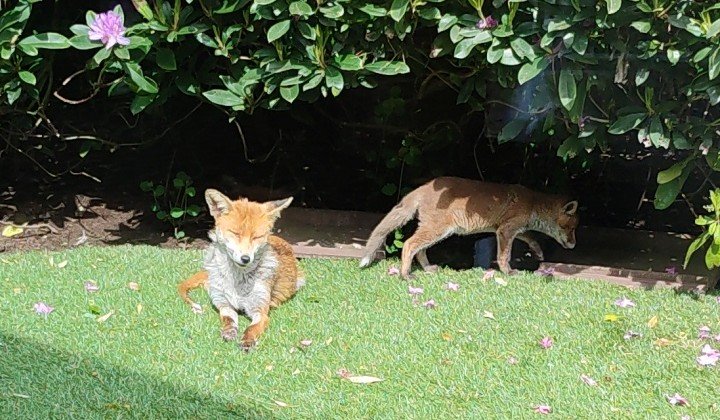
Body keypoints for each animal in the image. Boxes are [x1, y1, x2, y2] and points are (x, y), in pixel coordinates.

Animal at [178, 189, 304, 351]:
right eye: (235, 233)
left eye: (256, 237)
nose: (245, 258)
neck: (237, 283)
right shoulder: (224, 304)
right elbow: (228, 320)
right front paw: (229, 331)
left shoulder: (260, 310)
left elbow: (252, 328)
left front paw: (247, 341)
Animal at [359, 177, 579, 278]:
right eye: (571, 228)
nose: (574, 245)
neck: (533, 204)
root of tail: (424, 187)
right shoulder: (505, 230)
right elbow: (504, 256)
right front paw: (508, 272)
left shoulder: (510, 228)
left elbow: (531, 237)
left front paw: (538, 252)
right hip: (438, 230)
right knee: (409, 244)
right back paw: (405, 275)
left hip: (436, 231)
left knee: (419, 250)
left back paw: (428, 268)